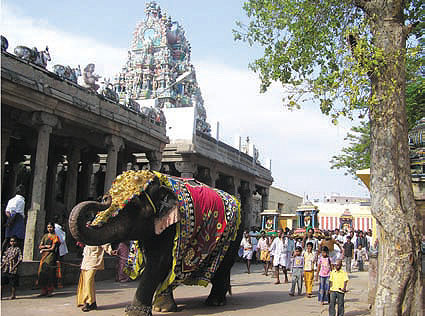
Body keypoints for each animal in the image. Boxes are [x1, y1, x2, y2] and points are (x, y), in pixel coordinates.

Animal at [69, 170, 242, 316]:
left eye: (134, 204)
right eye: (108, 197)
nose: (104, 198)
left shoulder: (172, 226)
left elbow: (158, 262)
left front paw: (136, 313)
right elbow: (156, 264)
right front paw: (162, 308)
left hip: (234, 237)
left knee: (223, 266)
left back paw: (215, 302)